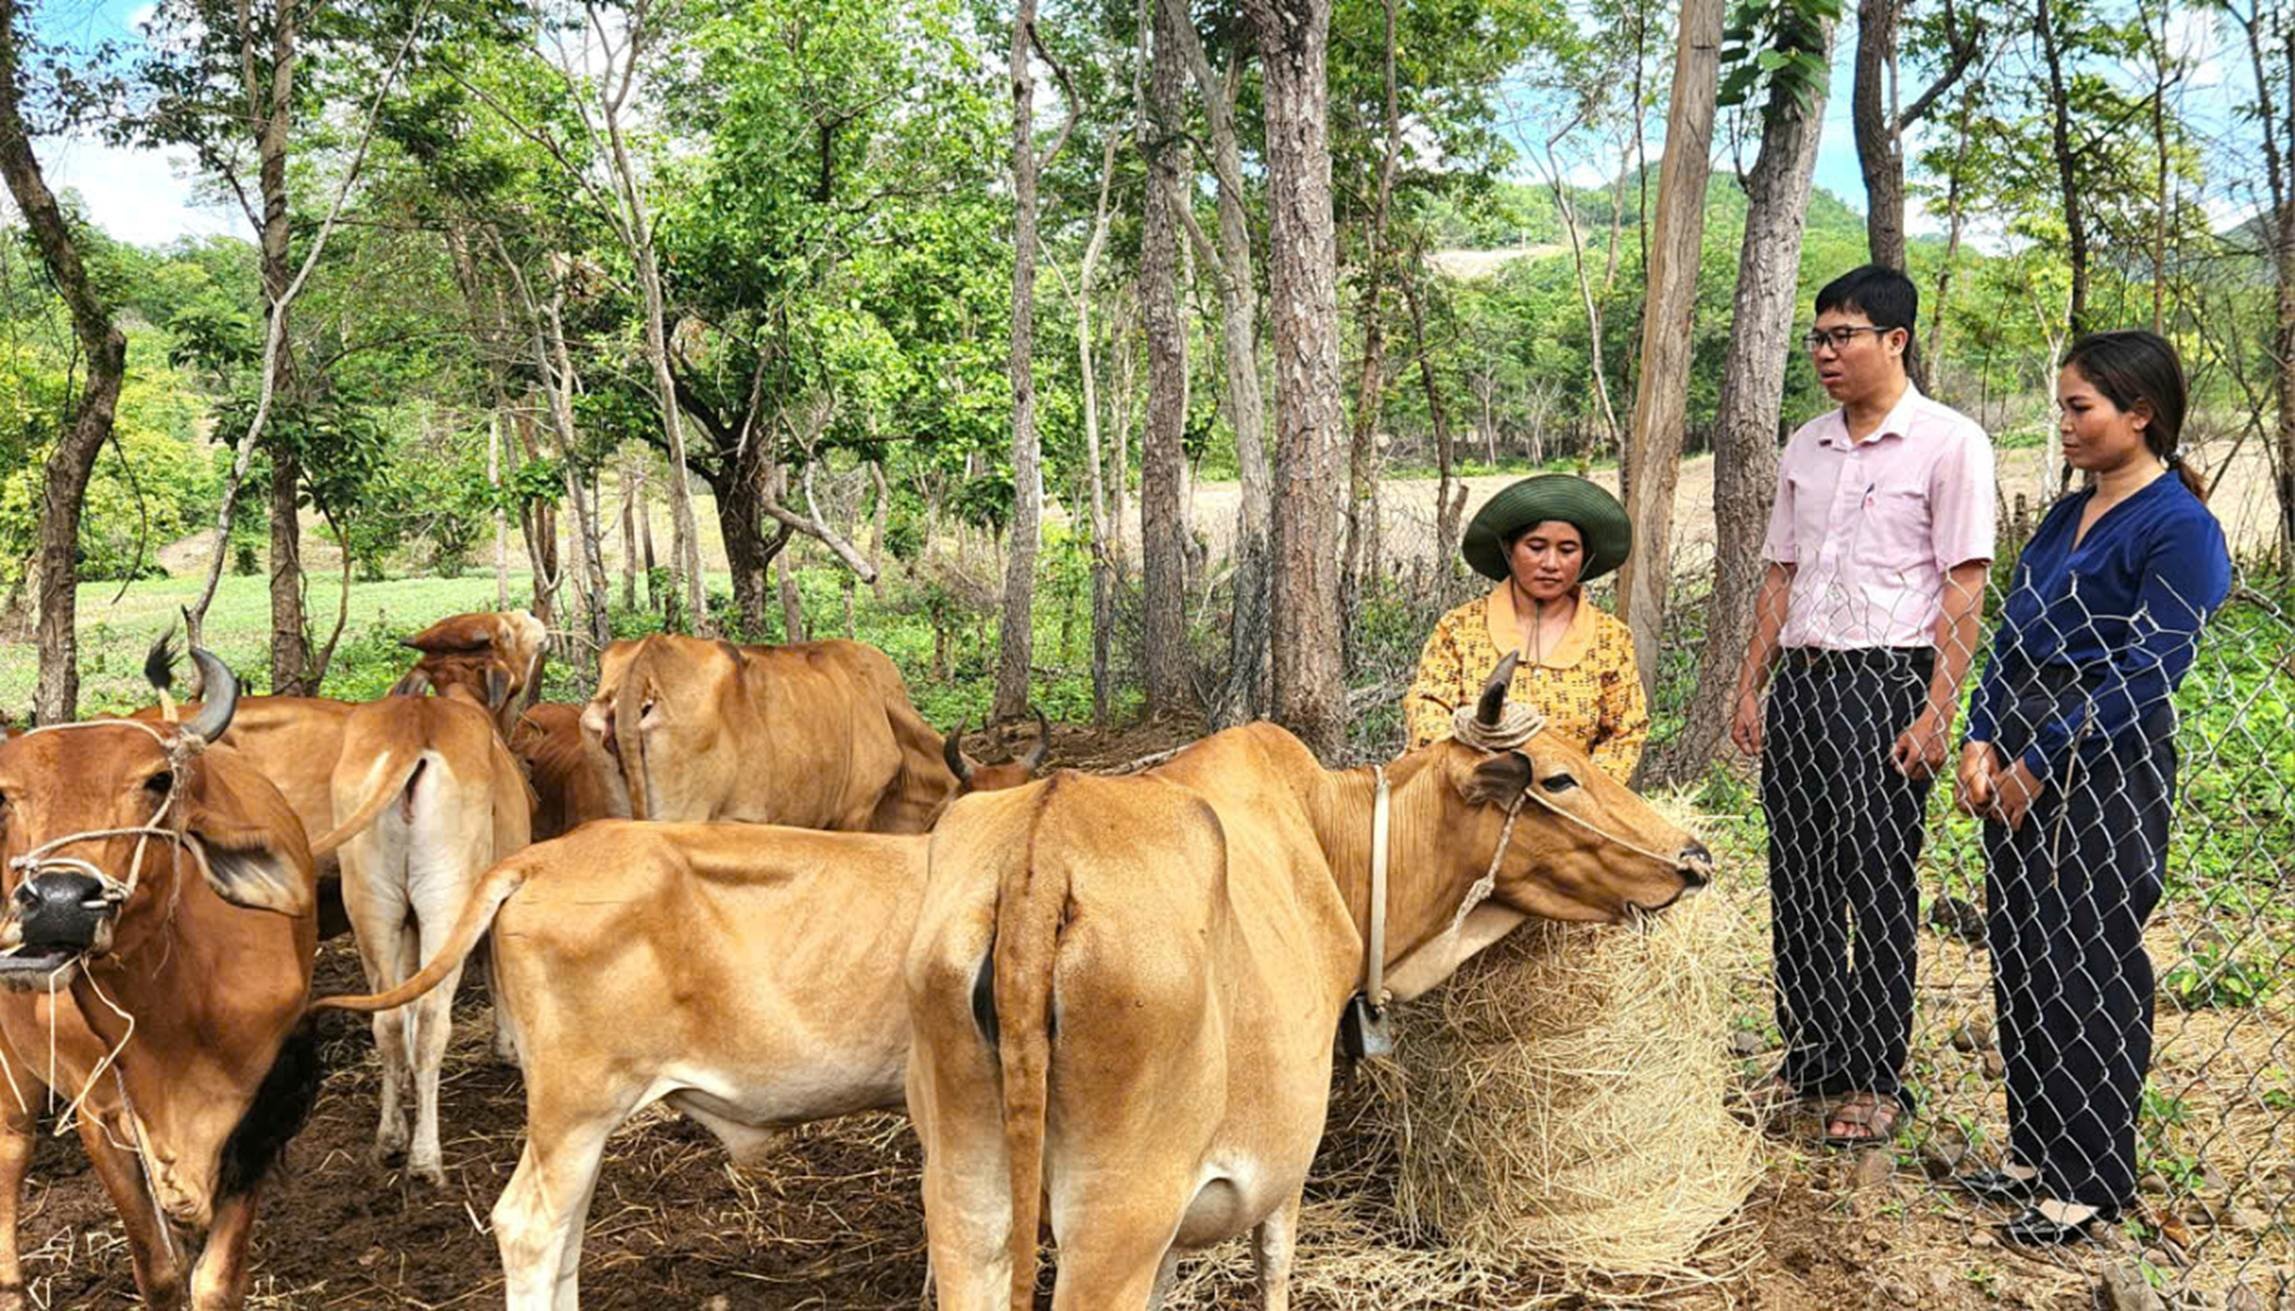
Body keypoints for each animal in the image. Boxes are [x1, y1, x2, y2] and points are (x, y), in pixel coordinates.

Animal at [0, 647, 319, 1311]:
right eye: (4, 798)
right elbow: (160, 1272)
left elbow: (216, 1280)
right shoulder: (101, 1116)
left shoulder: (268, 1104)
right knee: (10, 1150)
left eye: (158, 781)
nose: (59, 902)